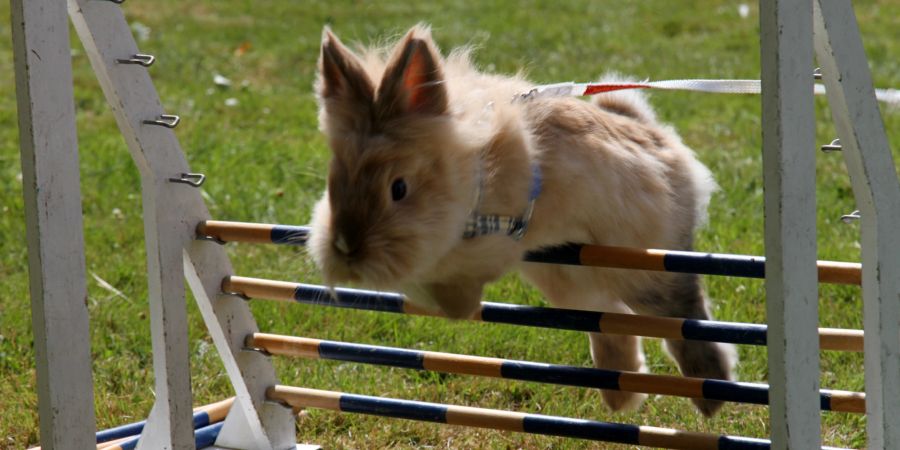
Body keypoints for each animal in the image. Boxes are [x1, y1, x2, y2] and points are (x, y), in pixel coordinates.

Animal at [306, 24, 736, 416]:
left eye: (398, 188)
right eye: (334, 180)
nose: (346, 248)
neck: (466, 174)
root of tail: (659, 139)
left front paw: (456, 306)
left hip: (641, 266)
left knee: (683, 312)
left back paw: (710, 396)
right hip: (573, 277)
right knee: (612, 319)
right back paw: (621, 399)